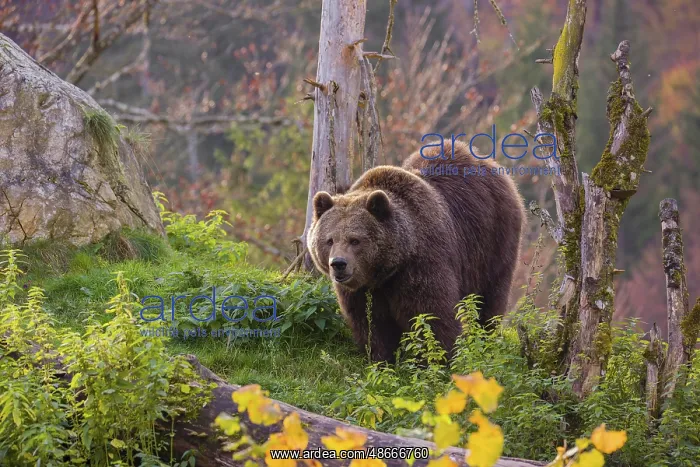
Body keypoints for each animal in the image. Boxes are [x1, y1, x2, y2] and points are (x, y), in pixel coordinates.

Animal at [308, 140, 524, 362]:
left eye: (355, 240)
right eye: (329, 240)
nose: (338, 264)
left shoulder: (422, 264)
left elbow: (431, 315)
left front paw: (439, 357)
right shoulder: (363, 290)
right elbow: (371, 323)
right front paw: (382, 358)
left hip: (492, 238)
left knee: (489, 296)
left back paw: (485, 337)